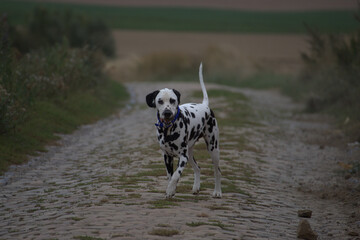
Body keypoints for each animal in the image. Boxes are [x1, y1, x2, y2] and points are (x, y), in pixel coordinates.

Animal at [145, 62, 221, 198]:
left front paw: (170, 190)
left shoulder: (183, 157)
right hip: (190, 154)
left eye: (172, 100)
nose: (167, 112)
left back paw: (217, 191)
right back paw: (196, 187)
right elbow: (170, 176)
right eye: (160, 101)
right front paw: (171, 189)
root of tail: (204, 105)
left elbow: (176, 175)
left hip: (213, 149)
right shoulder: (167, 157)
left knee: (217, 171)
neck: (168, 130)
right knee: (198, 168)